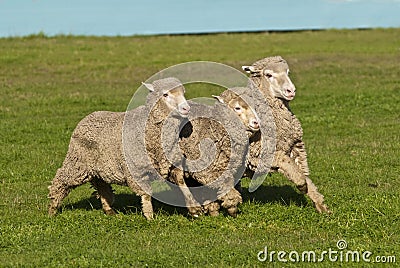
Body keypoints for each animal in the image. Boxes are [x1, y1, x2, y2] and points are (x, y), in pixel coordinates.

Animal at [47, 76, 192, 219]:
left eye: (183, 93)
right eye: (165, 94)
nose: (186, 109)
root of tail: (88, 116)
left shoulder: (173, 164)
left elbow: (182, 183)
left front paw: (193, 208)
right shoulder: (137, 172)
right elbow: (146, 195)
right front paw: (150, 217)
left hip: (97, 167)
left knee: (102, 186)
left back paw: (108, 209)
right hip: (77, 163)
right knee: (61, 180)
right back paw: (52, 210)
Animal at [241, 56, 332, 214]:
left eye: (288, 72)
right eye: (269, 75)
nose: (291, 90)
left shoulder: (294, 148)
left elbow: (301, 172)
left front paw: (320, 205)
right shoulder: (259, 154)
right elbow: (288, 166)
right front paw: (301, 185)